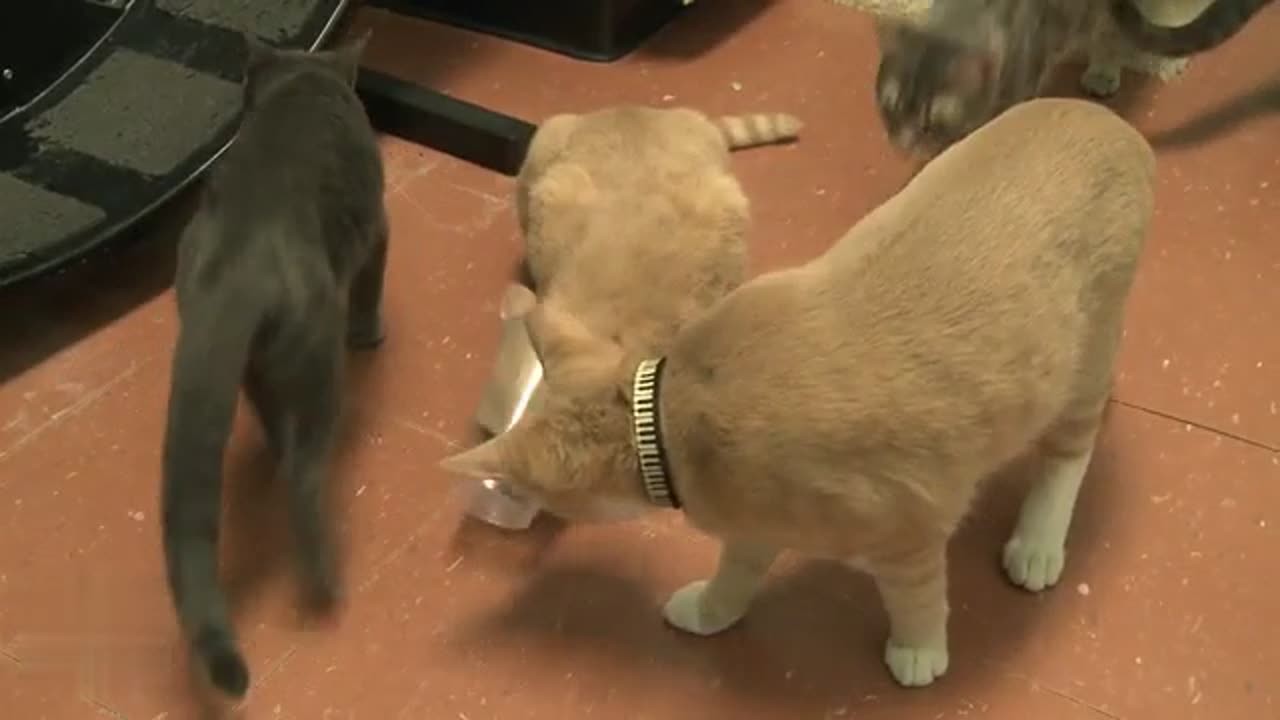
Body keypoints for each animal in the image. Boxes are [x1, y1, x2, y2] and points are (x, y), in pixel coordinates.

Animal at [158, 32, 384, 696]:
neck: (302, 80)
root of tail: (237, 267)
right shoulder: (380, 228)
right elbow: (373, 287)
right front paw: (372, 335)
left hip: (254, 366)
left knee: (274, 428)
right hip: (317, 362)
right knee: (303, 474)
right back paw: (328, 585)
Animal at [442, 95, 1162, 681]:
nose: (506, 503)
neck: (671, 417)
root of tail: (1099, 115)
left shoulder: (908, 536)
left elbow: (920, 599)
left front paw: (920, 651)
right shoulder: (757, 521)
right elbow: (736, 575)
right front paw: (710, 611)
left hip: (1086, 353)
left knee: (1069, 453)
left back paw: (1037, 544)